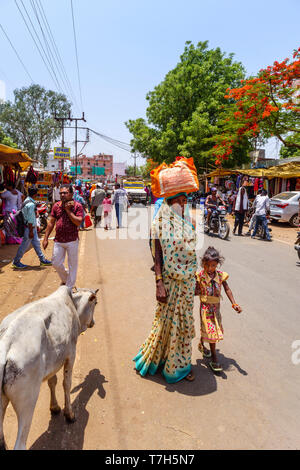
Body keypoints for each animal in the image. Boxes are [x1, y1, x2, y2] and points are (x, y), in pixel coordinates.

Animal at [0, 284, 99, 450]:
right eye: (95, 303)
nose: (93, 322)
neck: (72, 304)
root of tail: (6, 343)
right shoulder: (71, 354)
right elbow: (66, 384)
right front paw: (69, 414)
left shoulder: (54, 361)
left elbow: (52, 382)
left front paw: (55, 407)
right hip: (28, 402)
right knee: (20, 443)